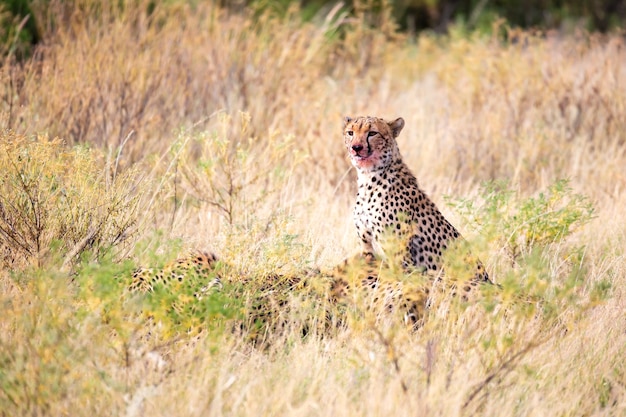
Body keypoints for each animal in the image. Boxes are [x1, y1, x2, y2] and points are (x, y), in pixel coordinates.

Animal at [342, 114, 492, 298]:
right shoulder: (366, 245)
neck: (368, 178)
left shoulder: (398, 254)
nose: (356, 147)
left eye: (372, 133)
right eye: (350, 132)